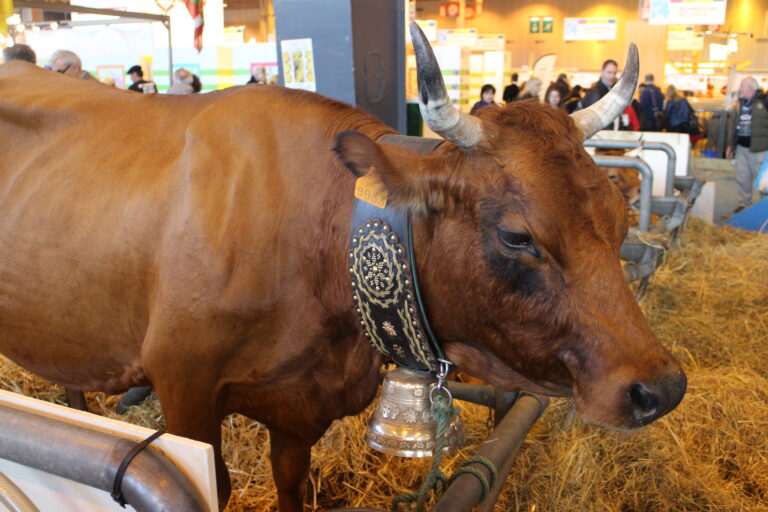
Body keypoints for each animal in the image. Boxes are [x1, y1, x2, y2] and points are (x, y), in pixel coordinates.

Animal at [0, 24, 685, 511]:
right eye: (517, 236)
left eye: (620, 216)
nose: (661, 387)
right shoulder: (186, 395)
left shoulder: (299, 410)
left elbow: (291, 487)